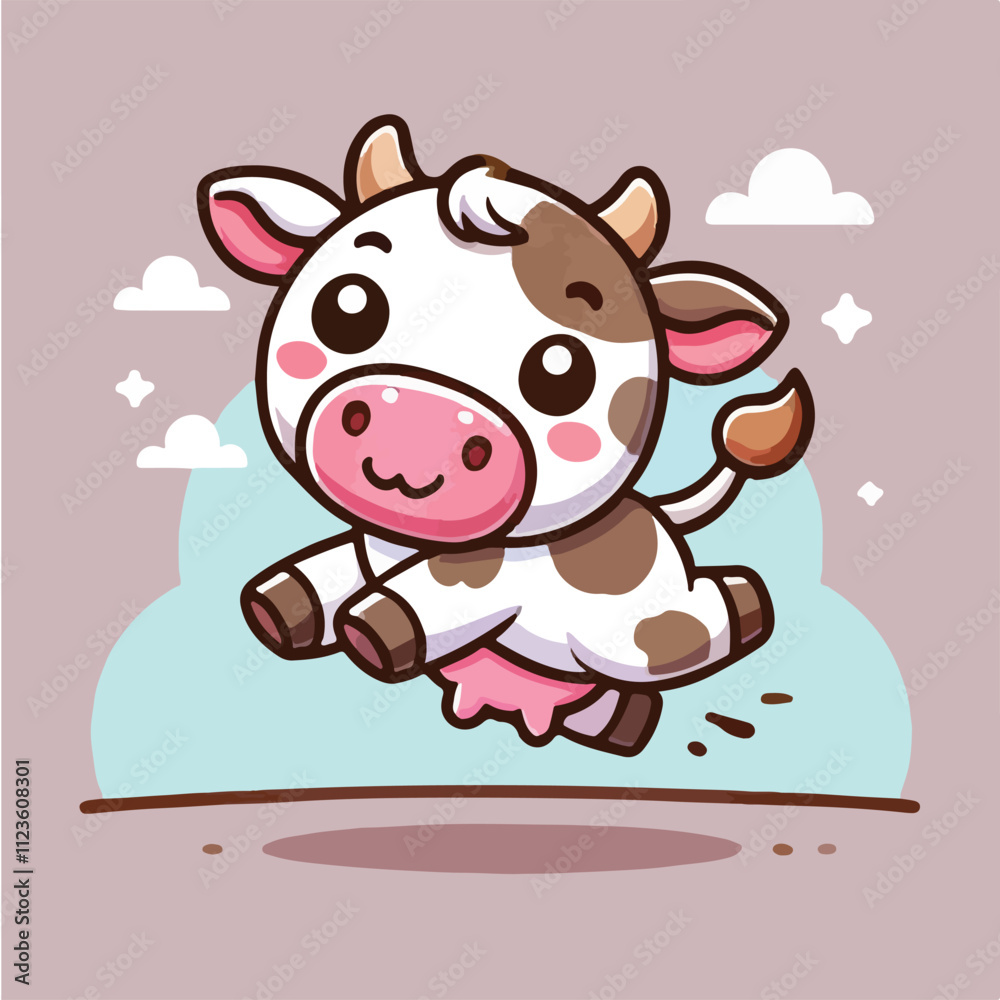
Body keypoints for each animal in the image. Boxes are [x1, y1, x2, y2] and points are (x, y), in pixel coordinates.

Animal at [198, 115, 814, 757]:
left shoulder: (483, 577)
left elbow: (429, 597)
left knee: (694, 623)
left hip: (633, 625)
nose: (415, 421)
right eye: (347, 306)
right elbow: (327, 570)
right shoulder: (364, 545)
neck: (404, 545)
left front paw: (371, 631)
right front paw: (274, 607)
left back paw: (746, 603)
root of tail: (654, 517)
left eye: (561, 373)